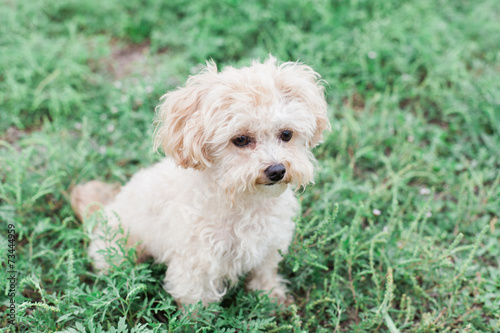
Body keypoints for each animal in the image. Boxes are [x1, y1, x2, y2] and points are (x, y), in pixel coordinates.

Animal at [70, 56, 328, 306]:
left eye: (286, 134)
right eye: (241, 139)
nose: (277, 170)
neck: (243, 200)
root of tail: (107, 207)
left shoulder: (268, 246)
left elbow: (265, 275)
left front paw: (272, 298)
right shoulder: (195, 266)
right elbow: (196, 305)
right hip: (118, 252)